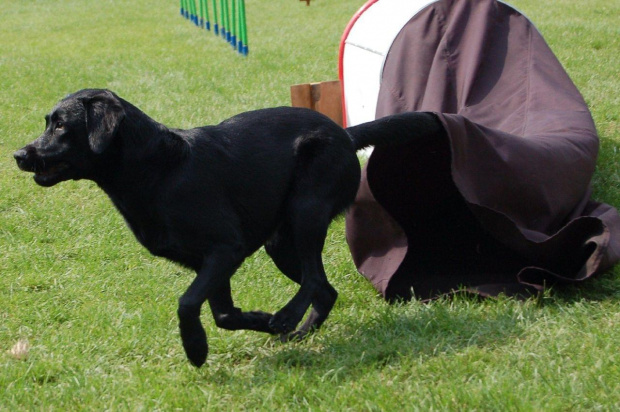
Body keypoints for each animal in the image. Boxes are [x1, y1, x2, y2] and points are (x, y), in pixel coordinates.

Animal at [13, 88, 440, 366]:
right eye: (47, 123)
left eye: (60, 126)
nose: (19, 154)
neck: (160, 170)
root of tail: (346, 135)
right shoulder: (213, 263)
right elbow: (224, 315)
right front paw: (258, 321)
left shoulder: (225, 249)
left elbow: (188, 303)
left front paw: (196, 348)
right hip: (280, 243)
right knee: (325, 288)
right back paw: (297, 331)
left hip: (305, 213)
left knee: (315, 280)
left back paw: (287, 318)